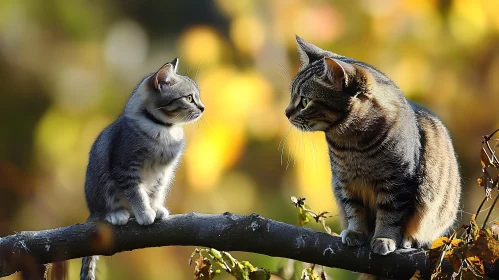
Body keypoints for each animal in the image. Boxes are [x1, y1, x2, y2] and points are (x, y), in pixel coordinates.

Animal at [80, 58, 203, 278]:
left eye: (197, 97)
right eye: (189, 98)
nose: (203, 107)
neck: (164, 131)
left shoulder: (163, 174)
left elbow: (155, 192)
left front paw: (154, 208)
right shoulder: (125, 168)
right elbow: (137, 193)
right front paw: (145, 213)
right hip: (101, 184)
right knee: (104, 209)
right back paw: (117, 214)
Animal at [288, 36, 462, 258]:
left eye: (305, 101)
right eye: (292, 96)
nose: (286, 113)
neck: (351, 145)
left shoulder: (398, 184)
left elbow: (390, 215)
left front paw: (384, 238)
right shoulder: (346, 183)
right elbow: (354, 210)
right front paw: (356, 232)